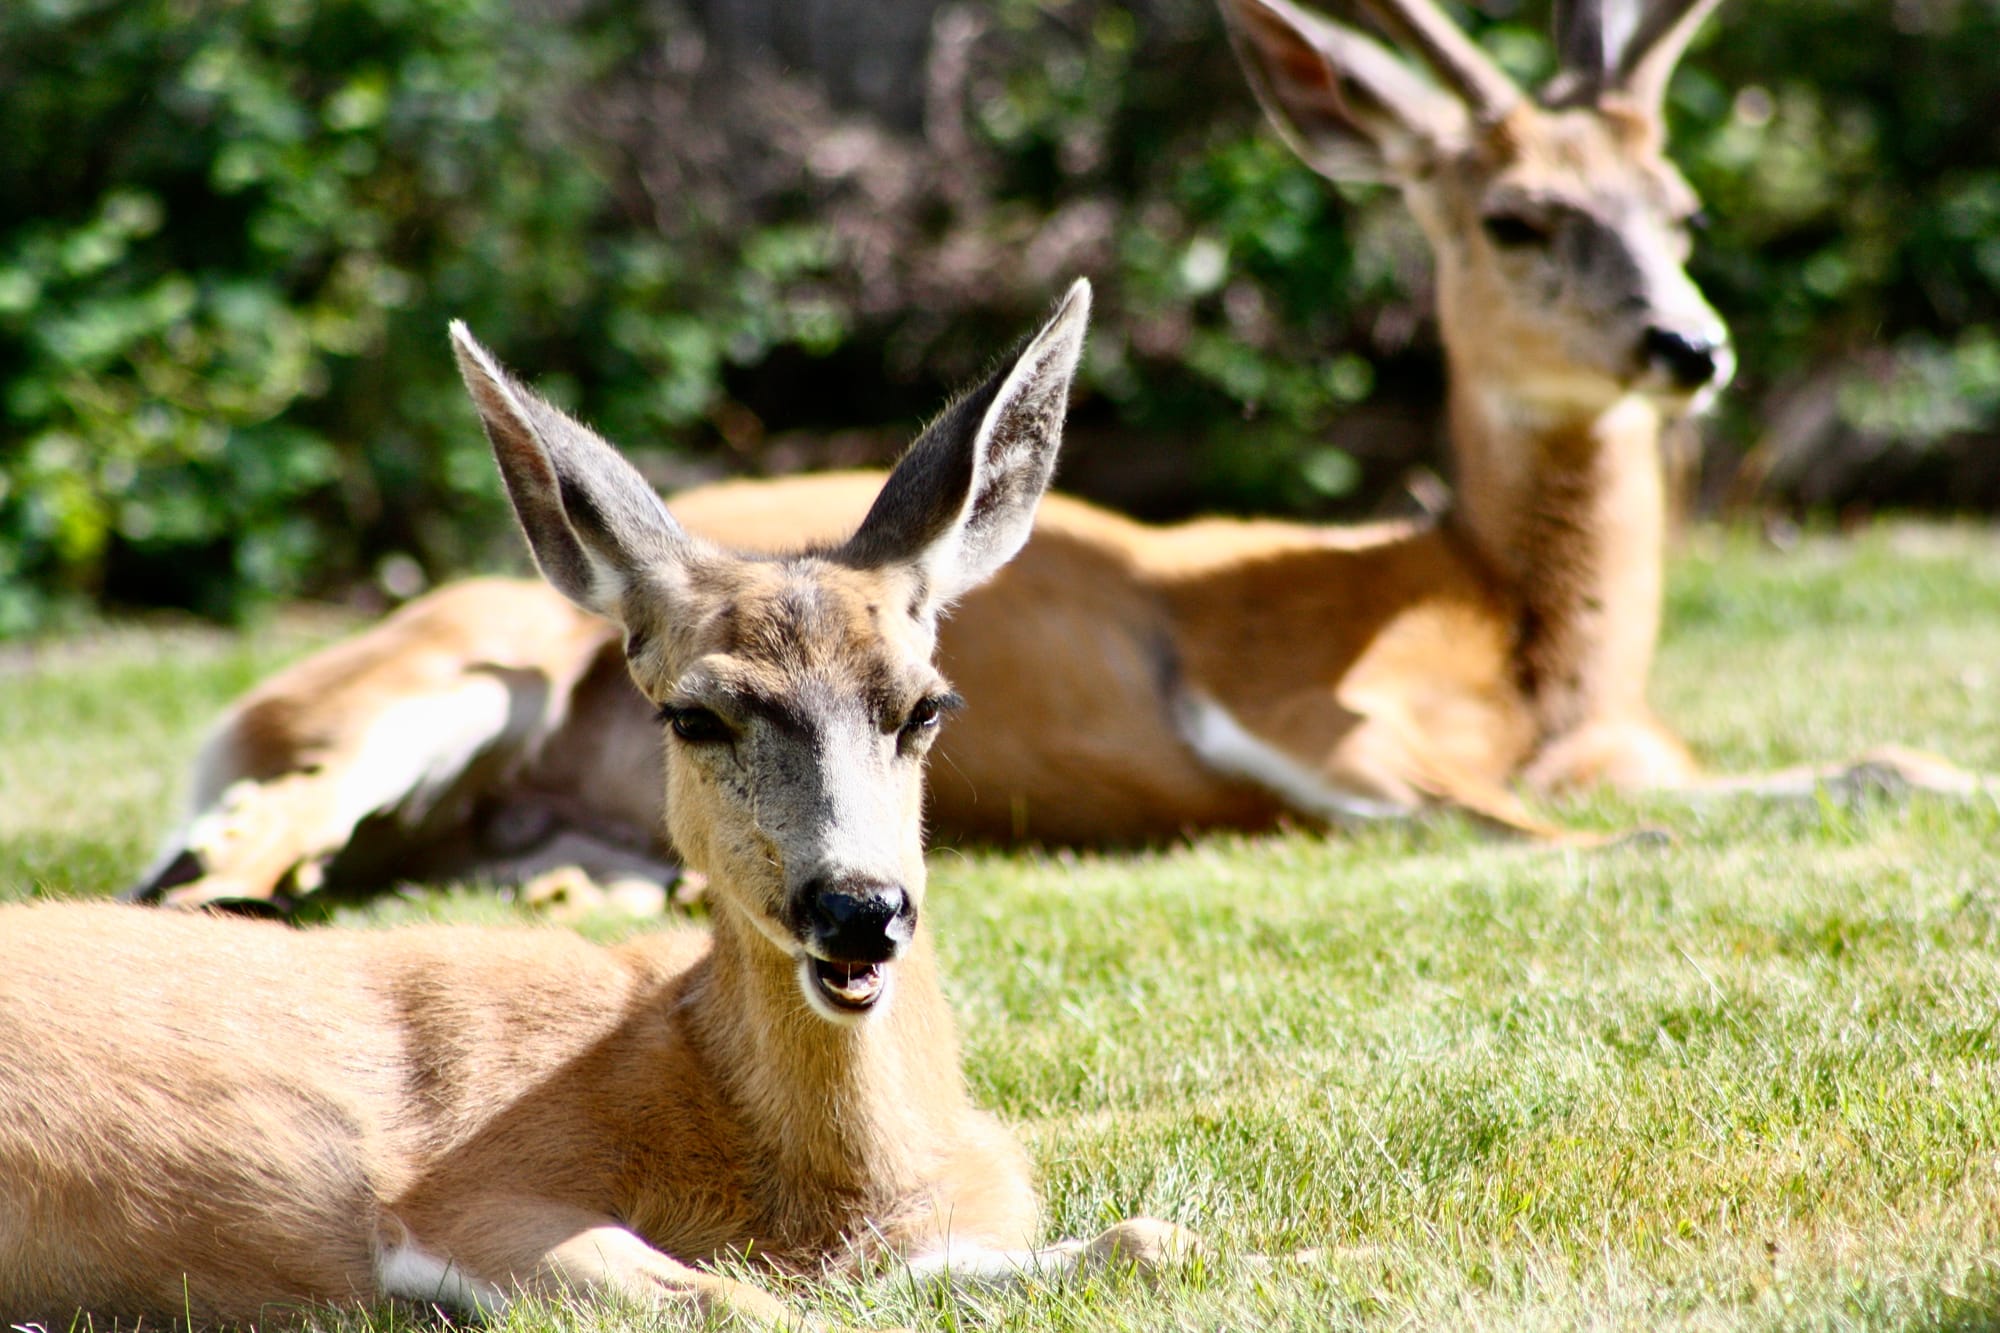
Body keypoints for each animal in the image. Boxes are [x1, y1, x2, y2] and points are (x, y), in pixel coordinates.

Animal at [1, 282, 1213, 1329]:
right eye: (696, 716)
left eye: (925, 706)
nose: (858, 908)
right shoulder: (464, 1192)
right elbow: (747, 1302)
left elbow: (1154, 1240)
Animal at [128, 0, 1988, 913]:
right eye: (1519, 216)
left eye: (1684, 208)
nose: (1691, 347)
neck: (1533, 647)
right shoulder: (1296, 697)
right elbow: (1479, 816)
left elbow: (1879, 761)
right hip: (488, 656)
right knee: (248, 822)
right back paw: (220, 871)